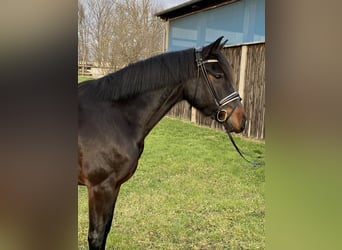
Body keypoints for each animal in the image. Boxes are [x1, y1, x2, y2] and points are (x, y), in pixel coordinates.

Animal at [79, 37, 247, 250]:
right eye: (218, 75)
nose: (242, 120)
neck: (114, 117)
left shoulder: (113, 187)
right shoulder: (100, 188)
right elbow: (96, 237)